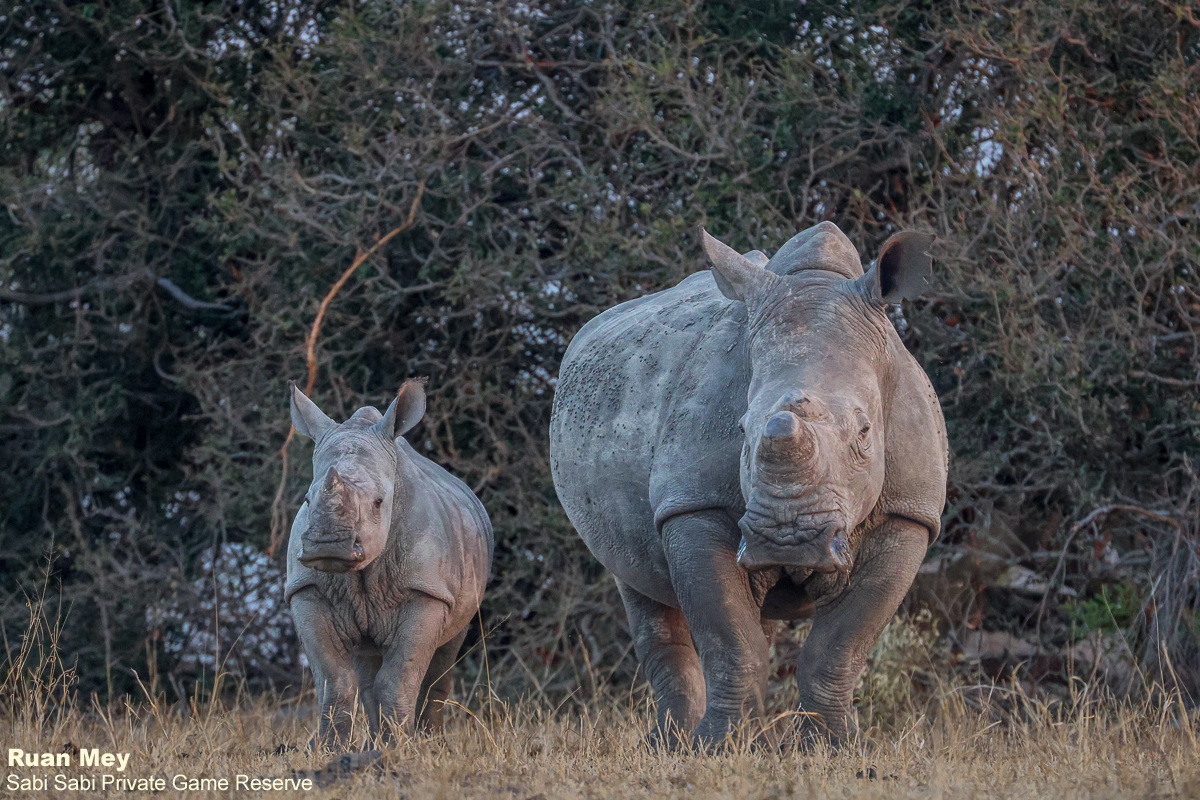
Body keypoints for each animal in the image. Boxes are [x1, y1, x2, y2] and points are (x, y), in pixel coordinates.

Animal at [286, 379, 493, 749]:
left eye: (379, 502)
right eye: (308, 500)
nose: (328, 545)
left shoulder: (426, 591)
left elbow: (398, 678)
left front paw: (401, 747)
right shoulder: (307, 589)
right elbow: (334, 679)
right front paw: (329, 750)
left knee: (444, 656)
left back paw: (429, 741)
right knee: (366, 665)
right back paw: (374, 744)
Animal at [549, 221, 947, 746]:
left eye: (865, 432)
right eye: (740, 428)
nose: (788, 539)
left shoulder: (910, 511)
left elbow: (840, 646)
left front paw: (833, 749)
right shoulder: (693, 502)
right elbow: (731, 640)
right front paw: (716, 748)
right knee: (639, 586)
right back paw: (668, 745)